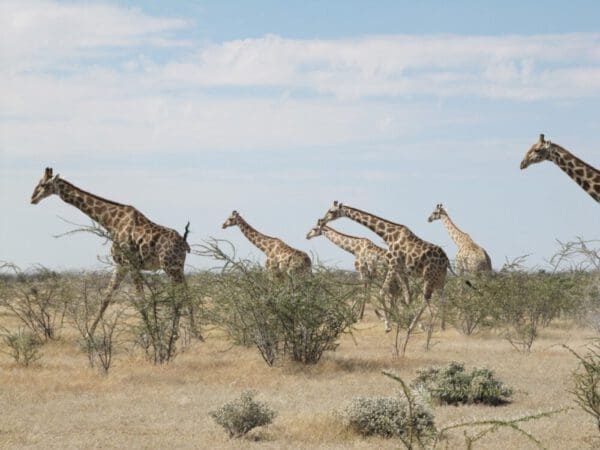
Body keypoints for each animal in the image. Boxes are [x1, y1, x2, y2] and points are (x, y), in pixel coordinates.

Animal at [29, 167, 192, 336]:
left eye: (43, 184)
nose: (32, 198)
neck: (111, 222)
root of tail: (184, 244)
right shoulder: (120, 265)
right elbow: (106, 298)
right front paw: (88, 335)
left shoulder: (131, 264)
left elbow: (140, 299)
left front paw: (149, 333)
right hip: (177, 267)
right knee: (186, 294)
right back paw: (188, 332)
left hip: (170, 267)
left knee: (184, 294)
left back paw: (184, 333)